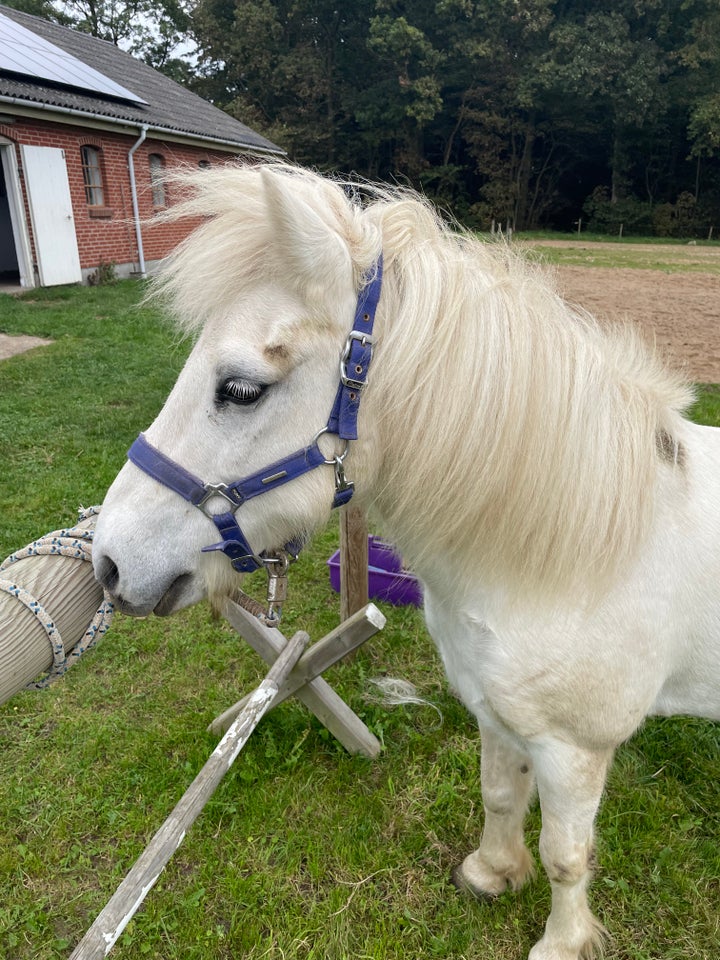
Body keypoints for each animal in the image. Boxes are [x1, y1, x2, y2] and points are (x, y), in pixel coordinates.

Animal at [93, 165, 716, 960]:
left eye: (240, 389)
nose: (110, 561)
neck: (577, 551)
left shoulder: (575, 747)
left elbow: (566, 855)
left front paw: (560, 941)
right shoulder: (496, 713)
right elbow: (501, 795)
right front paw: (491, 873)